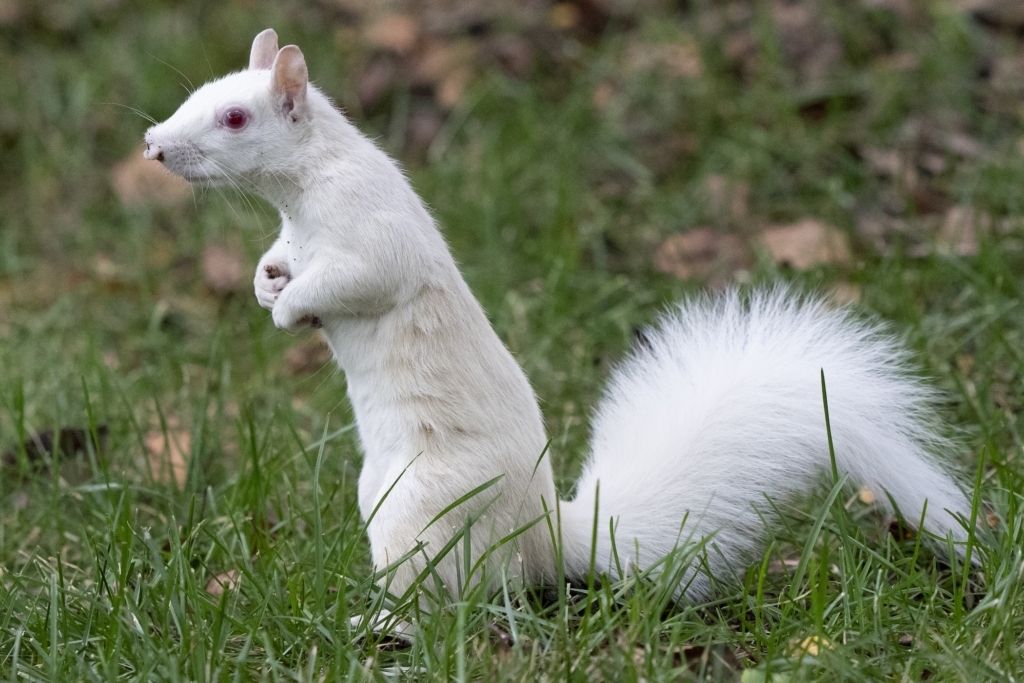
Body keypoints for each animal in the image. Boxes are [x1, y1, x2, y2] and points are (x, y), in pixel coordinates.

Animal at [142, 29, 973, 606]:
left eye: (235, 116)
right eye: (206, 91)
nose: (152, 144)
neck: (307, 183)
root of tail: (542, 539)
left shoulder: (372, 235)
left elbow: (358, 280)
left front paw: (293, 310)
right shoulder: (298, 234)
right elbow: (282, 257)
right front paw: (267, 283)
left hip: (424, 510)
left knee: (453, 595)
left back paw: (380, 622)